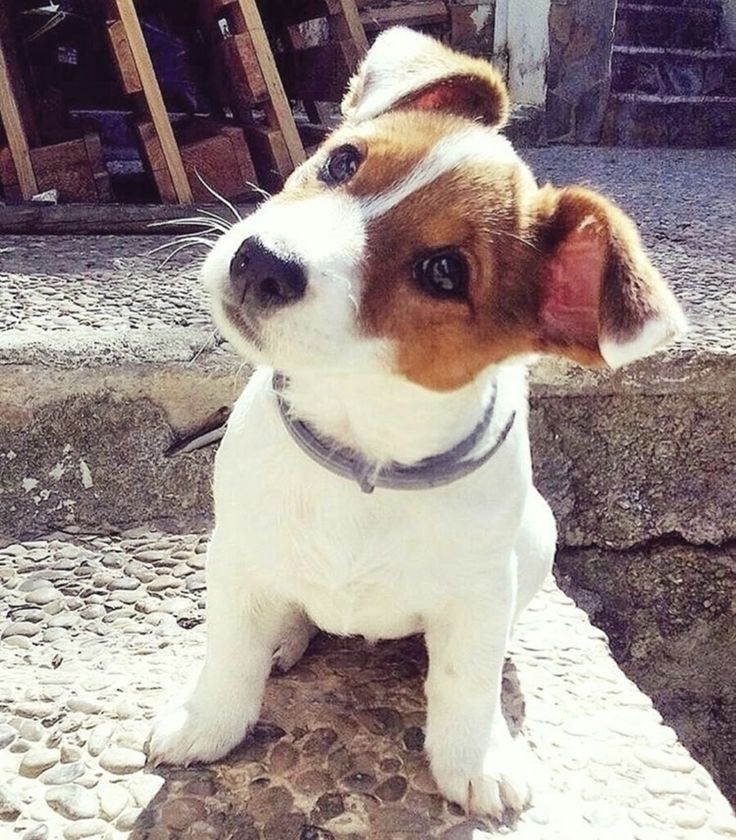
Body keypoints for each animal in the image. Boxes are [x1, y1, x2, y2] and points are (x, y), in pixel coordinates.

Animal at [148, 27, 684, 820]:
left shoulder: (480, 591)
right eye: (342, 161)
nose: (261, 262)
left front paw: (476, 757)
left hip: (536, 538)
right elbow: (229, 652)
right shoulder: (237, 553)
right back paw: (285, 635)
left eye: (442, 272)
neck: (362, 443)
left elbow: (465, 679)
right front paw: (206, 720)